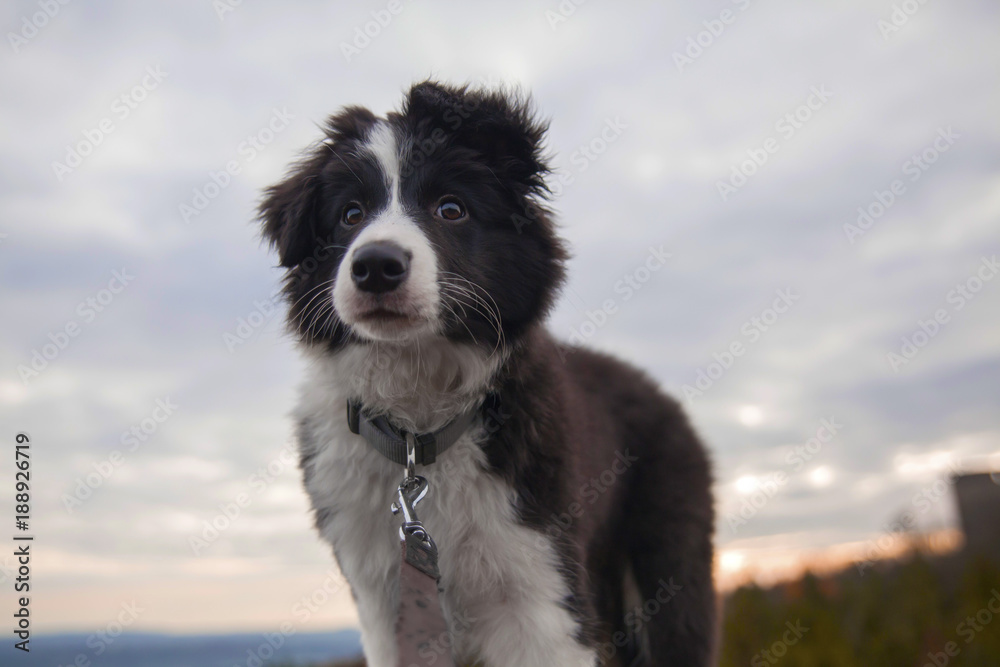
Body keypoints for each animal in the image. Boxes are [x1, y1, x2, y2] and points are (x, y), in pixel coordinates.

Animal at [258, 83, 712, 667]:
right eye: (350, 215)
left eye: (451, 208)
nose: (375, 266)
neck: (419, 425)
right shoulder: (384, 603)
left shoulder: (540, 587)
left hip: (669, 560)